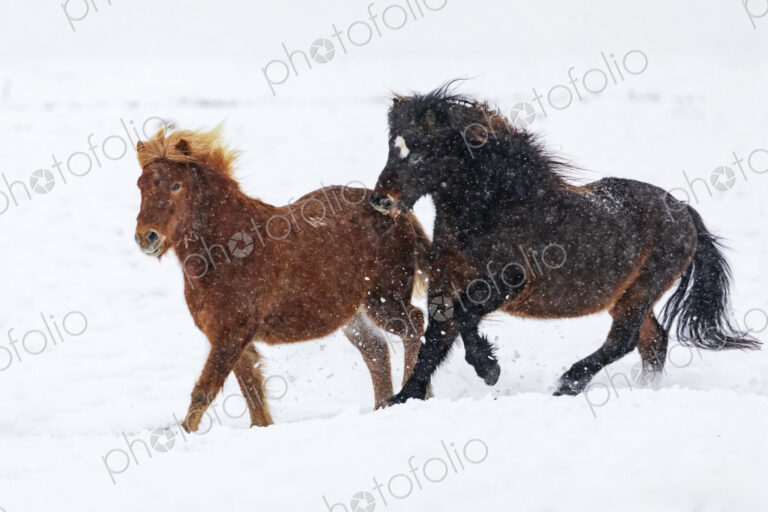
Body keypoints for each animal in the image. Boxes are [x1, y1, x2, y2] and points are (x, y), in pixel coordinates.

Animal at [134, 126, 429, 431]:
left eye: (176, 186)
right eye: (141, 185)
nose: (147, 237)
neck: (229, 248)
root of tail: (398, 214)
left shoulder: (232, 333)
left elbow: (205, 390)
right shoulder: (228, 336)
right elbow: (252, 391)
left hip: (384, 299)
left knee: (413, 326)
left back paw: (414, 396)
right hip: (354, 317)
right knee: (376, 351)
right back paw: (383, 406)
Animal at [369, 83, 760, 404]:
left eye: (422, 152)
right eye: (391, 147)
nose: (381, 200)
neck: (497, 207)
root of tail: (686, 213)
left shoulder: (509, 282)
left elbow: (463, 316)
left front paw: (489, 369)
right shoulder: (445, 281)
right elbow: (436, 339)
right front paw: (403, 398)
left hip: (641, 291)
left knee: (624, 340)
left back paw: (568, 384)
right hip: (632, 295)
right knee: (653, 341)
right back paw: (643, 389)